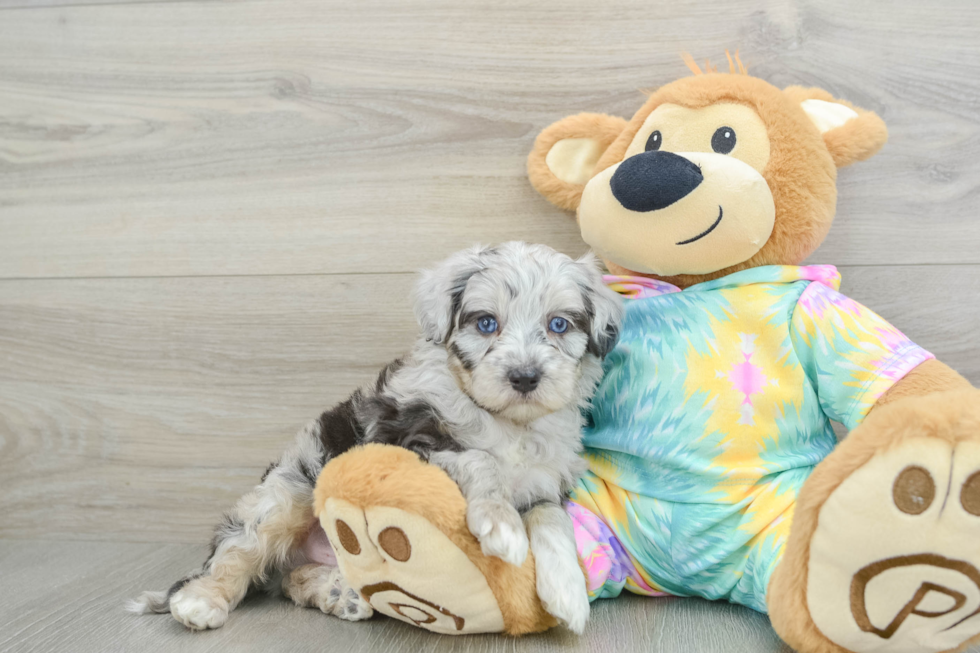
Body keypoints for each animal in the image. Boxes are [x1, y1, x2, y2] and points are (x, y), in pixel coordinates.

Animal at [130, 239, 624, 632]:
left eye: (559, 324)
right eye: (486, 323)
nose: (524, 377)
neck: (510, 422)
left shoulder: (546, 482)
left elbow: (552, 521)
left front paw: (568, 594)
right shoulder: (410, 439)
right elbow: (480, 458)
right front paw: (502, 526)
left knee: (288, 580)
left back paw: (339, 593)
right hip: (285, 492)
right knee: (237, 550)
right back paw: (200, 600)